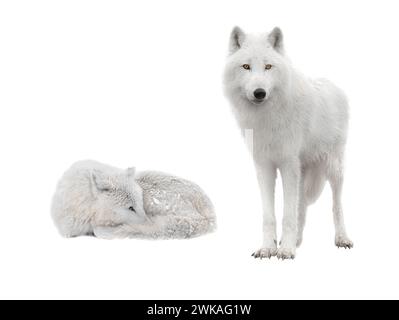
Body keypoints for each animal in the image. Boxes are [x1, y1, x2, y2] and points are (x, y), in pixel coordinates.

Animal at [223, 26, 354, 258]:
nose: (259, 93)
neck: (267, 117)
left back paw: (341, 238)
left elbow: (288, 214)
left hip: (333, 168)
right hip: (303, 170)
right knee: (301, 206)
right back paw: (296, 240)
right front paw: (268, 248)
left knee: (336, 205)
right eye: (246, 66)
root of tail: (333, 84)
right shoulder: (264, 166)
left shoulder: (287, 164)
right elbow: (270, 215)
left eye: (268, 66)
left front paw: (285, 250)